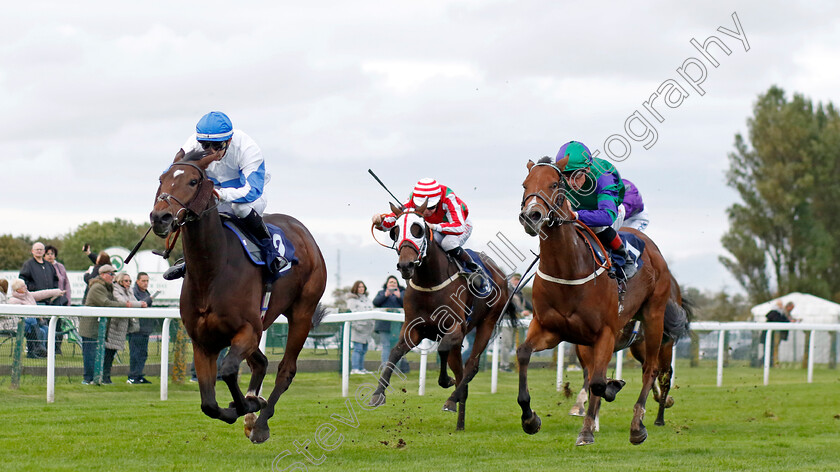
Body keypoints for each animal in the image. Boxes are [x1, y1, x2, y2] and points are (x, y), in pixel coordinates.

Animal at [149, 149, 326, 444]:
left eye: (193, 182)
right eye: (162, 179)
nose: (160, 217)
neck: (212, 270)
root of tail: (302, 231)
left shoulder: (247, 330)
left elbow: (230, 370)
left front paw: (249, 404)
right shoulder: (203, 342)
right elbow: (209, 404)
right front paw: (241, 406)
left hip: (302, 312)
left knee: (285, 370)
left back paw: (261, 423)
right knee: (261, 362)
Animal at [370, 201, 516, 430]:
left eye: (418, 229)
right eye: (395, 231)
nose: (405, 265)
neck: (429, 282)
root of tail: (501, 275)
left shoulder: (455, 327)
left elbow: (442, 349)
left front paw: (446, 383)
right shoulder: (413, 328)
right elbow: (394, 353)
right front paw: (378, 394)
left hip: (487, 323)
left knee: (471, 367)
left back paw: (452, 400)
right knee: (460, 372)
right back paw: (459, 422)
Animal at [520, 157, 676, 444]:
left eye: (554, 184)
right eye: (525, 184)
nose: (531, 216)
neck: (568, 269)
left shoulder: (606, 332)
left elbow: (598, 383)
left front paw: (588, 428)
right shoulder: (549, 328)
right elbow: (523, 354)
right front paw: (530, 418)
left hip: (654, 318)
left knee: (651, 370)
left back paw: (638, 425)